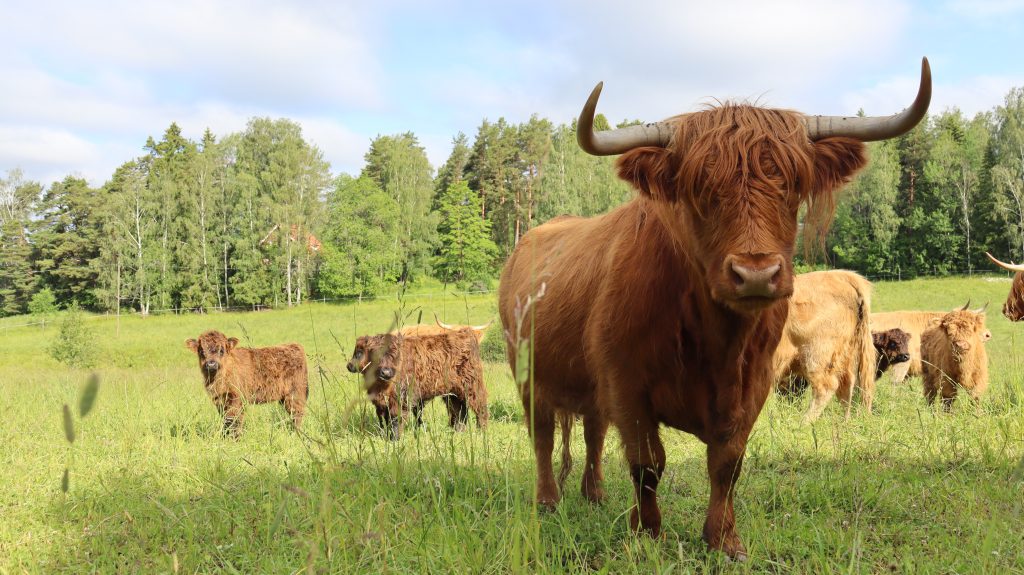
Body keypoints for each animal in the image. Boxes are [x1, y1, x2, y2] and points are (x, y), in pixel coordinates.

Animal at [346, 327, 488, 439]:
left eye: (394, 354)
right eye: (373, 353)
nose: (386, 372)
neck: (381, 386)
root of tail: (464, 333)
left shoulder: (400, 399)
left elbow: (395, 419)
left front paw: (394, 440)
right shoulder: (380, 402)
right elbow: (384, 420)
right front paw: (385, 436)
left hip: (472, 386)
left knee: (480, 408)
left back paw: (481, 431)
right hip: (452, 393)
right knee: (459, 412)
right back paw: (458, 432)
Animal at [771, 270, 874, 422]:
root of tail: (841, 275)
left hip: (817, 354)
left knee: (827, 387)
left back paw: (804, 422)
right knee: (846, 386)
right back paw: (844, 422)